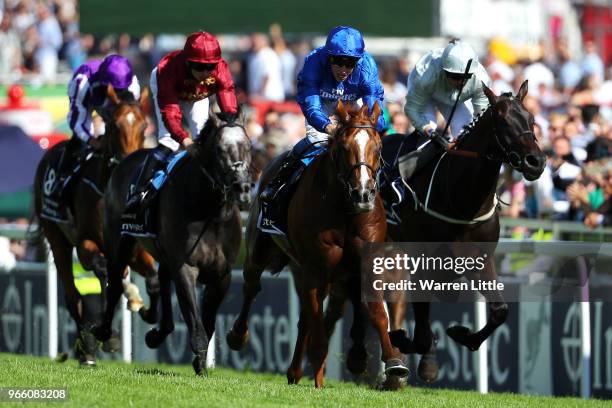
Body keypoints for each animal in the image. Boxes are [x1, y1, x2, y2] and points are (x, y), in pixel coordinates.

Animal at [32, 85, 157, 364]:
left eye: (144, 126)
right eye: (114, 125)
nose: (130, 164)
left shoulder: (134, 249)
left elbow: (145, 272)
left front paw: (139, 303)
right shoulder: (85, 244)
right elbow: (102, 271)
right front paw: (108, 335)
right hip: (56, 237)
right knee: (73, 295)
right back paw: (87, 348)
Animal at [94, 111, 252, 376]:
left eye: (248, 146)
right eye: (220, 149)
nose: (243, 187)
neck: (210, 212)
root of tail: (126, 160)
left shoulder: (222, 274)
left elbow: (208, 322)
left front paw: (199, 361)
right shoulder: (186, 267)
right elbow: (197, 324)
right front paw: (200, 366)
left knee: (162, 280)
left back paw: (157, 331)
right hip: (120, 240)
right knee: (115, 283)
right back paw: (105, 331)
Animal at [227, 102, 408, 388]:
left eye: (378, 147)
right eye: (344, 147)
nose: (363, 193)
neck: (345, 210)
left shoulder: (365, 264)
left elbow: (376, 312)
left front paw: (393, 363)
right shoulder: (316, 267)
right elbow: (319, 327)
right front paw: (320, 381)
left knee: (306, 318)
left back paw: (296, 372)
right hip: (261, 250)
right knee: (252, 285)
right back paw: (238, 336)